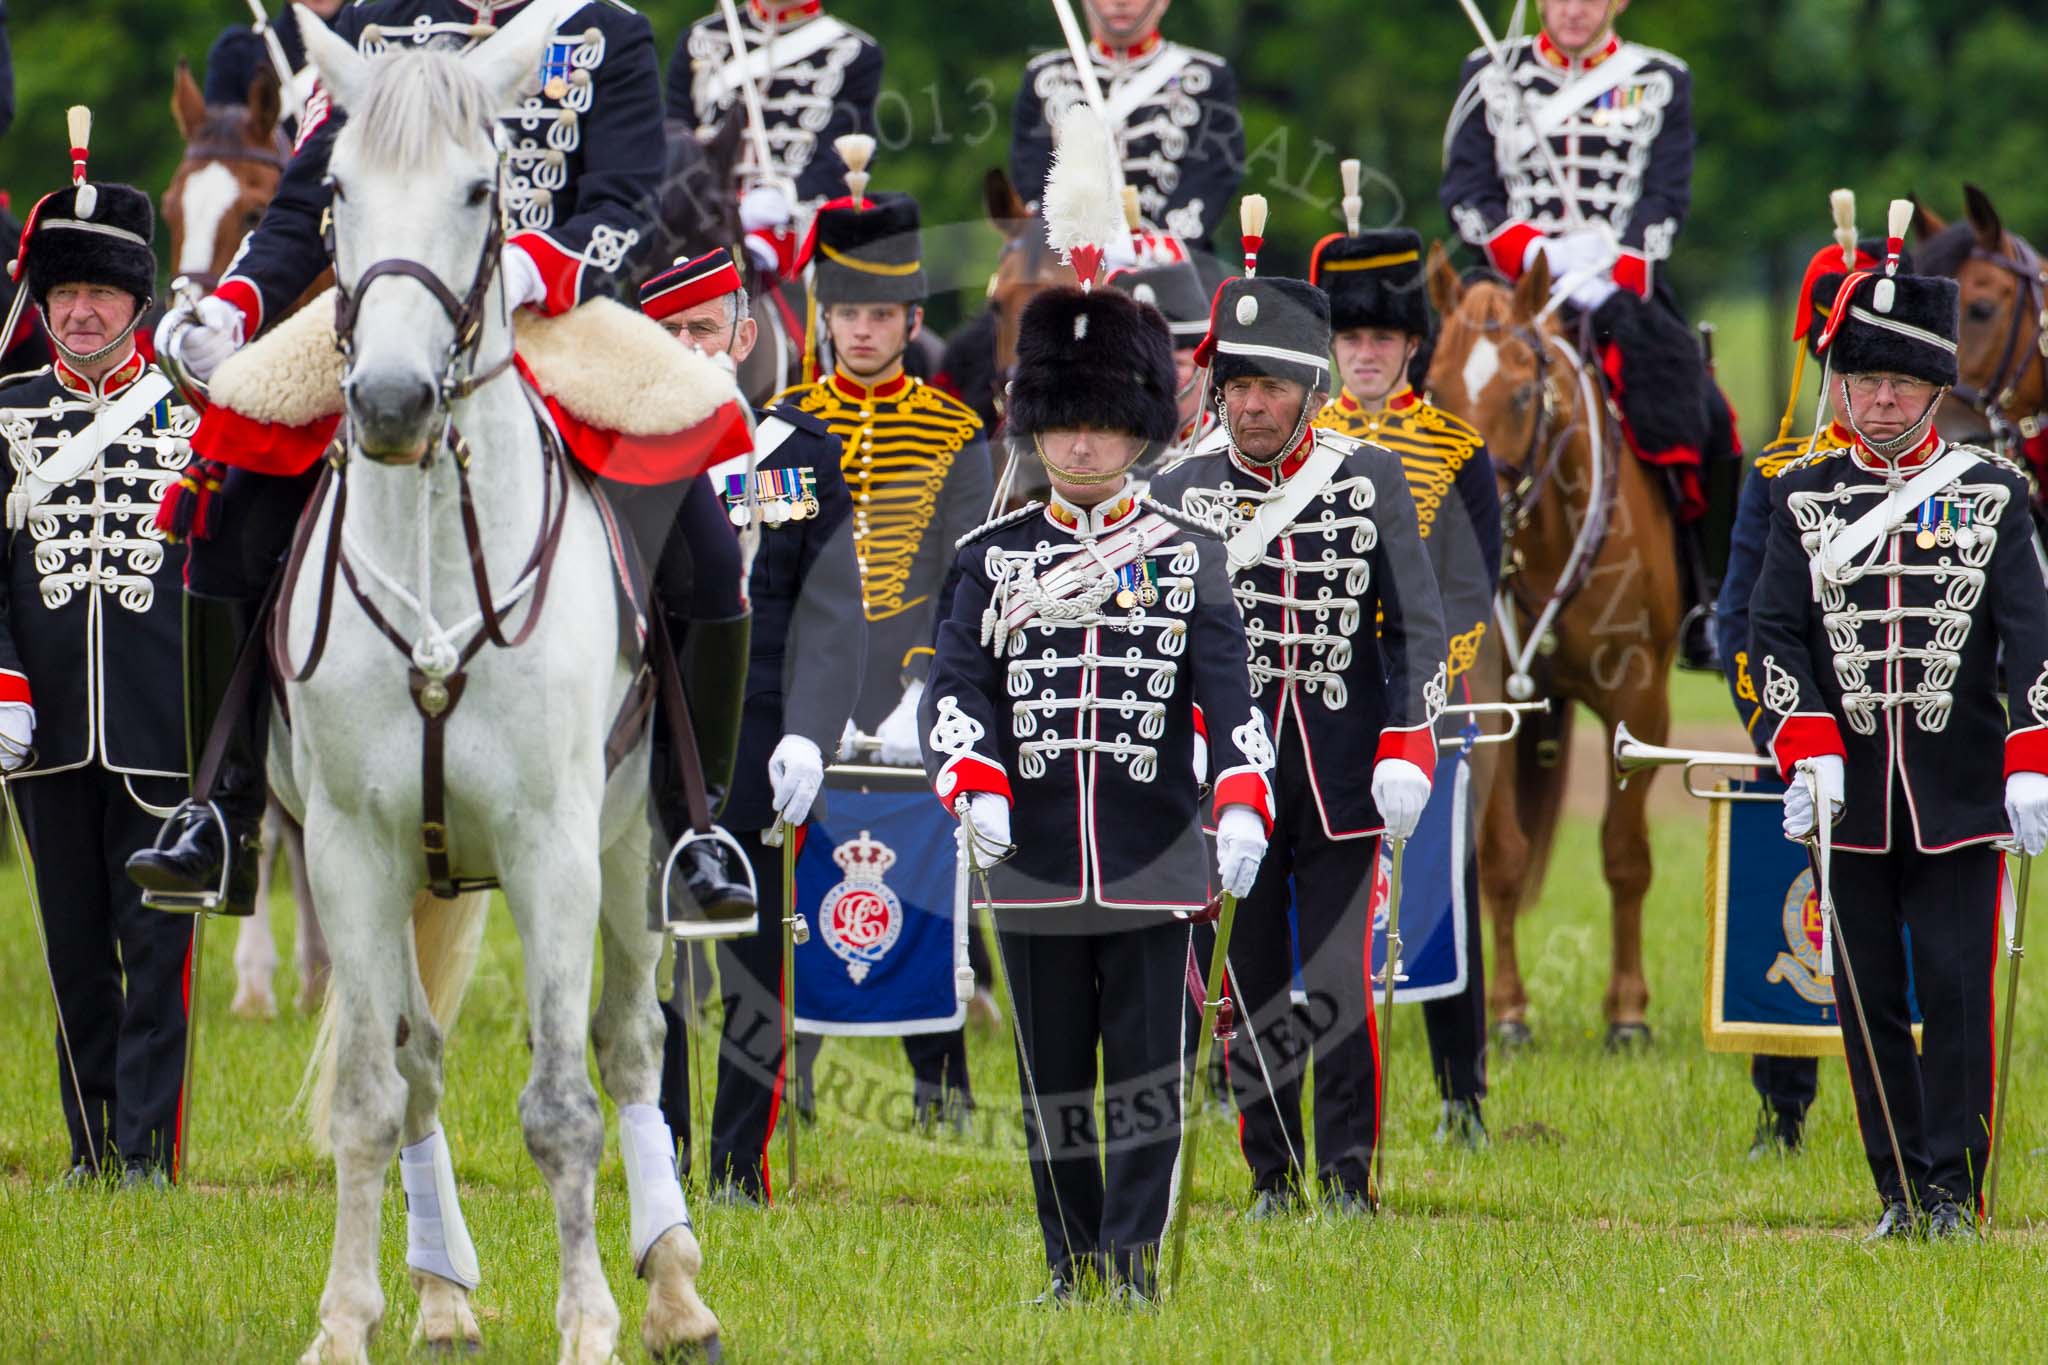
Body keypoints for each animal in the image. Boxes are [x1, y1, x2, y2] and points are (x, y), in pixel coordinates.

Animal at [268, 5, 724, 1358]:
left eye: (483, 190)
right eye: (334, 191)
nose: (389, 401)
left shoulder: (551, 845)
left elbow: (563, 1103)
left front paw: (589, 1323)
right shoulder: (350, 850)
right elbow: (370, 1093)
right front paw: (345, 1319)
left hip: (635, 853)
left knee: (628, 1047)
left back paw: (674, 1288)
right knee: (417, 1061)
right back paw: (440, 1293)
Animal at [1425, 248, 1679, 1047]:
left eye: (1518, 393)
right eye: (1434, 389)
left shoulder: (1640, 697)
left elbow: (1625, 855)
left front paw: (1628, 1012)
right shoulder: (1490, 702)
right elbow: (1502, 856)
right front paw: (1508, 1012)